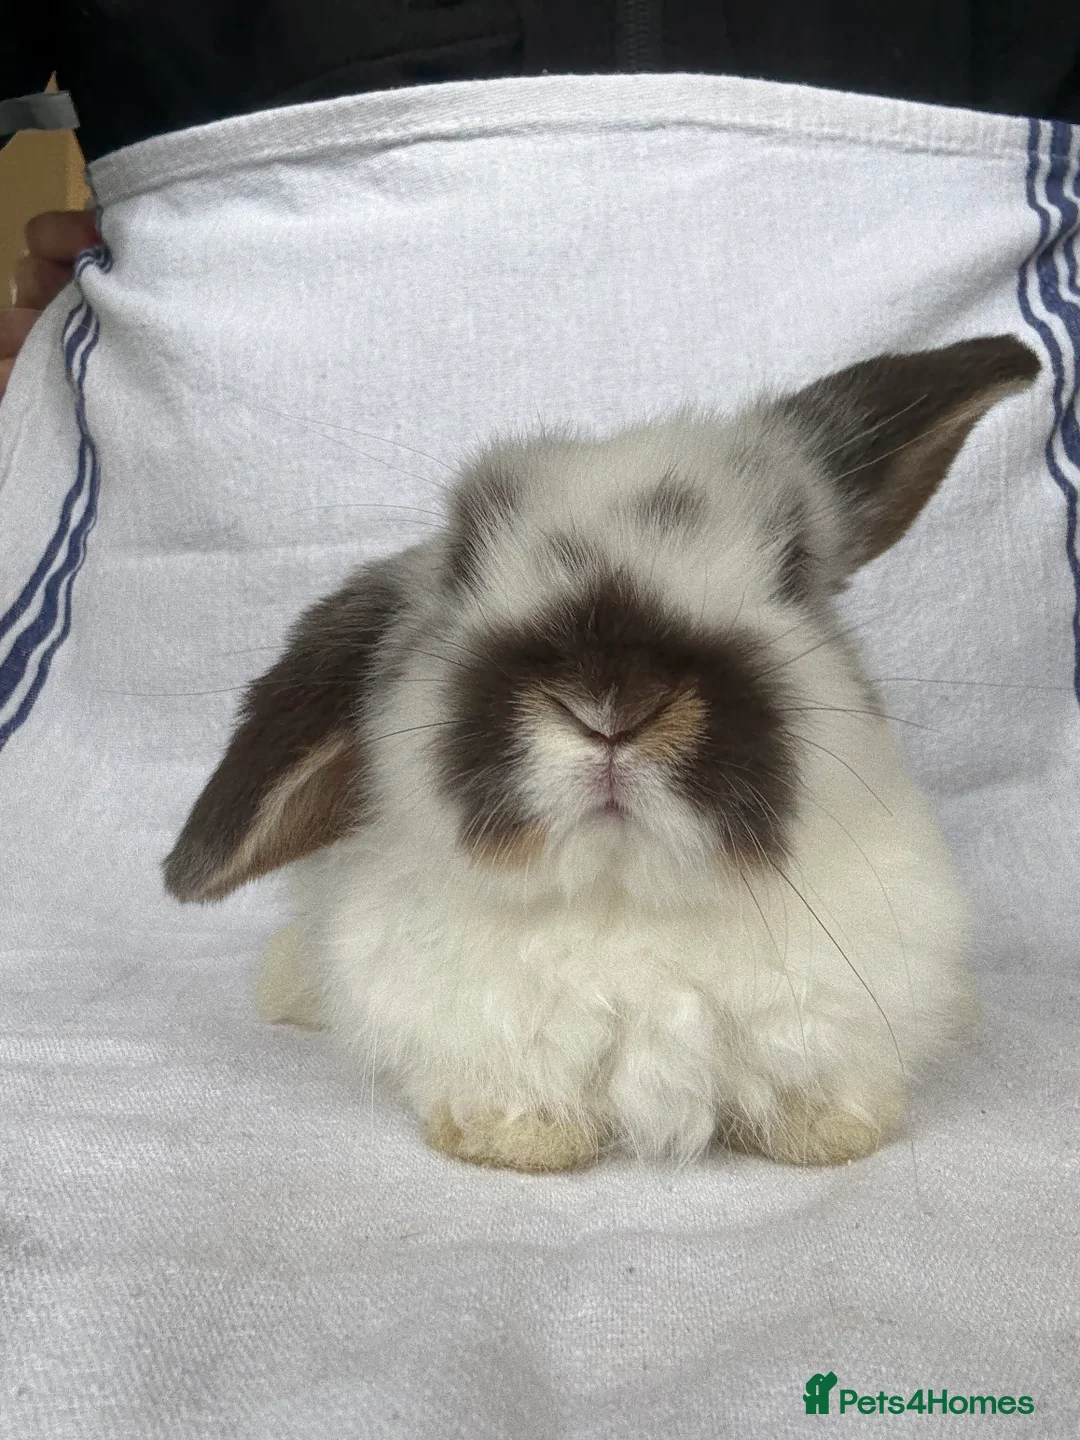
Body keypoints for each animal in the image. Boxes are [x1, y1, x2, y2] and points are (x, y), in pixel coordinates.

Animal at [164, 335, 1039, 1173]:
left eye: (793, 567)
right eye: (463, 565)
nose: (614, 705)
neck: (627, 899)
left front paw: (829, 1135)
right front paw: (516, 1144)